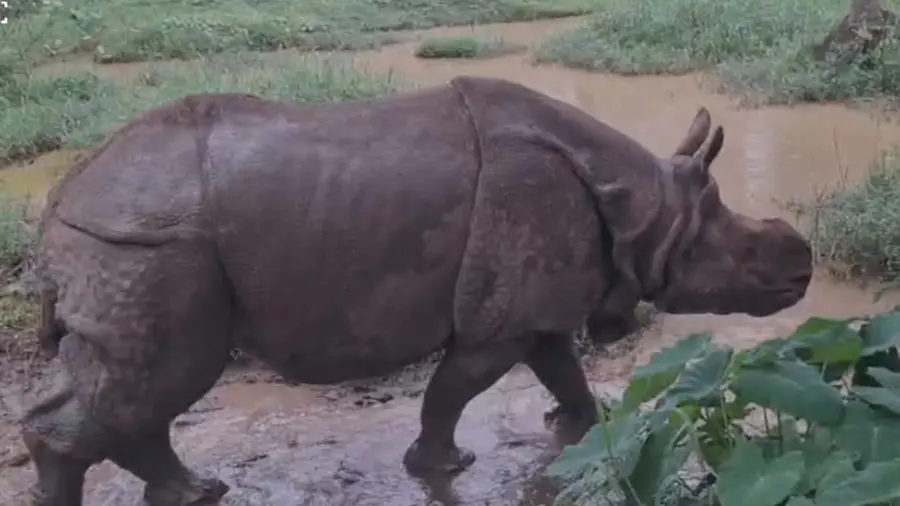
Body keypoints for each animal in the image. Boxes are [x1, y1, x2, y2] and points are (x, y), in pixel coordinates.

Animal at [22, 75, 812, 506]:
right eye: (744, 254)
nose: (802, 266)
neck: (646, 209)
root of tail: (61, 202)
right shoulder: (502, 316)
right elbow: (458, 385)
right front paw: (443, 467)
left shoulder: (537, 304)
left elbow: (561, 367)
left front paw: (578, 427)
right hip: (147, 245)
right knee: (161, 378)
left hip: (132, 241)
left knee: (138, 390)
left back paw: (194, 492)